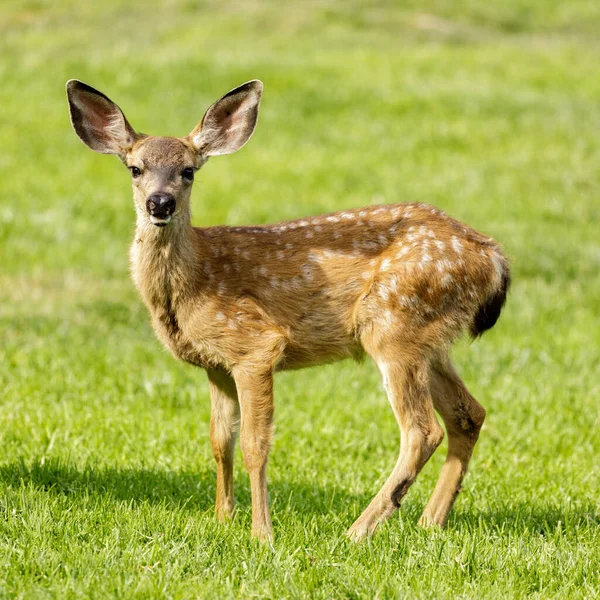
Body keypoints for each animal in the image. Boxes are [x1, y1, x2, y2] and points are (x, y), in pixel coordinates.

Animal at [67, 77, 510, 540]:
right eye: (135, 168)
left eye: (188, 171)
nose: (160, 203)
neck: (194, 279)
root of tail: (492, 256)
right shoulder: (216, 364)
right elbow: (219, 440)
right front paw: (222, 518)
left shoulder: (255, 345)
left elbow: (254, 444)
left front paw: (261, 533)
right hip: (430, 340)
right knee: (468, 414)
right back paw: (429, 522)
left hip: (395, 325)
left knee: (422, 430)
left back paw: (358, 530)